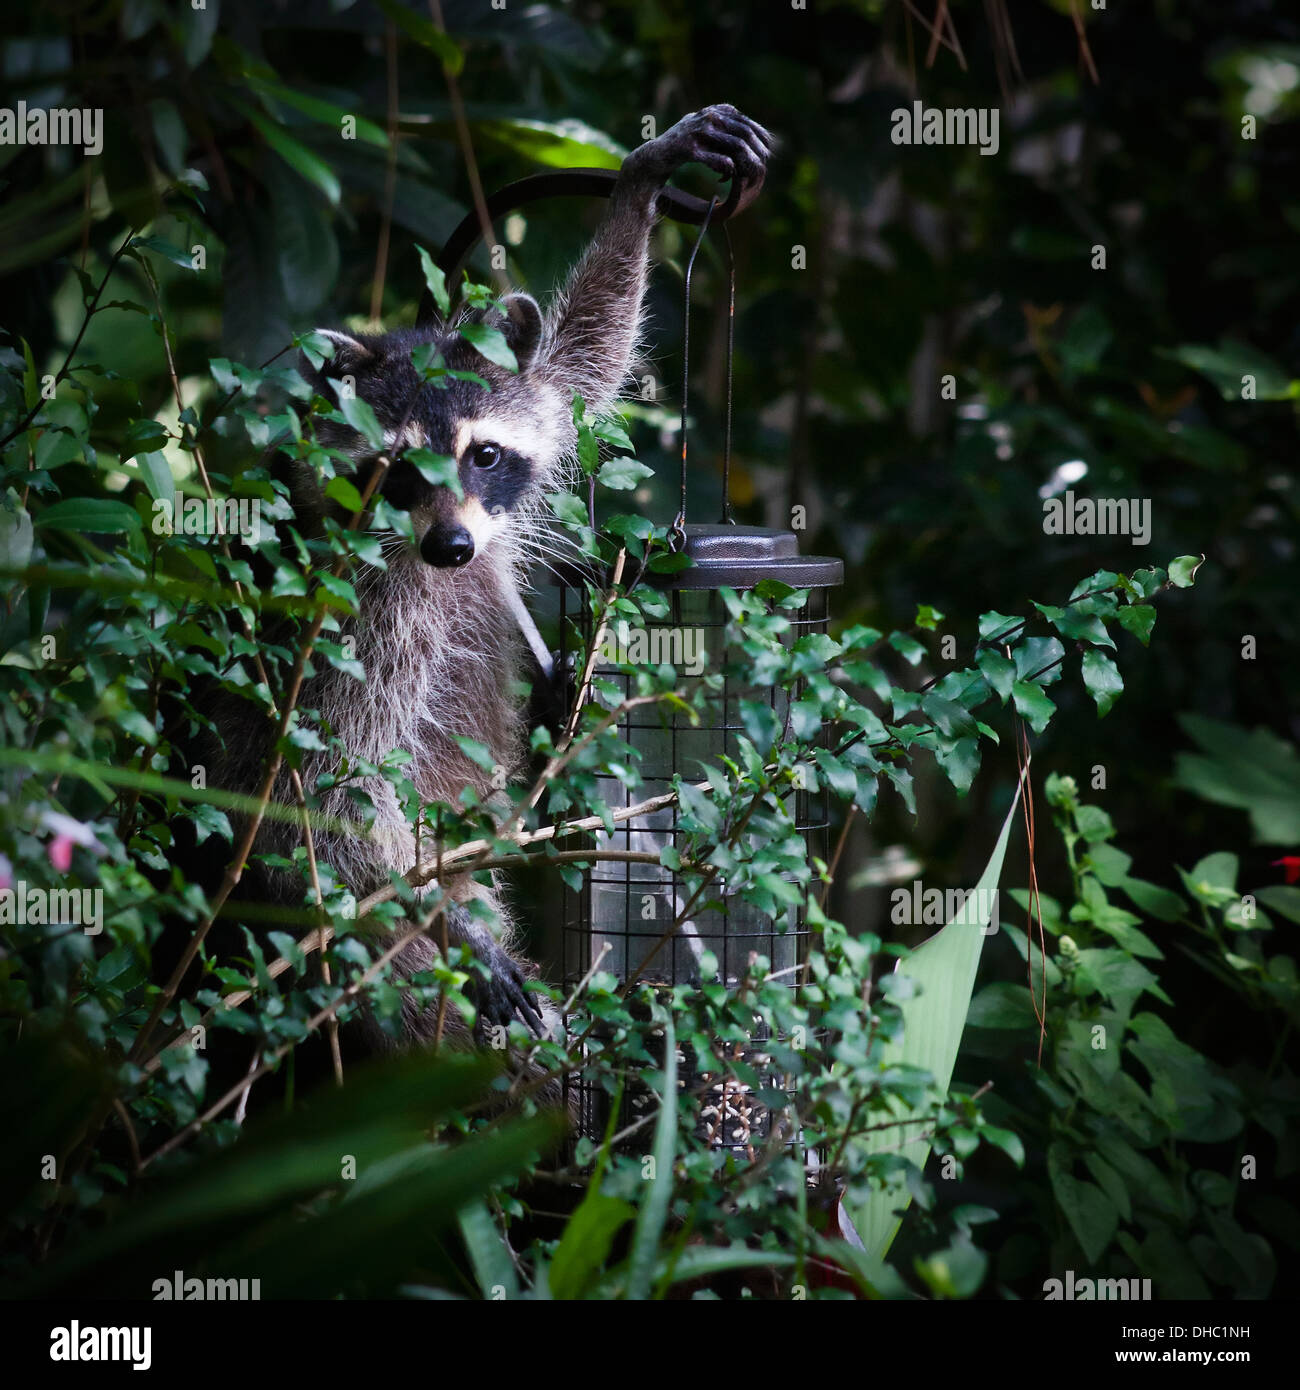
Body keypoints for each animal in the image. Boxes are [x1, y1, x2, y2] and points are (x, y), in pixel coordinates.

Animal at [205, 111, 773, 1073]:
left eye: (484, 454)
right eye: (397, 472)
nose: (454, 546)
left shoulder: (530, 414)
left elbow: (578, 366)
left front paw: (637, 188)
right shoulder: (356, 616)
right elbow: (328, 788)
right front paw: (448, 927)